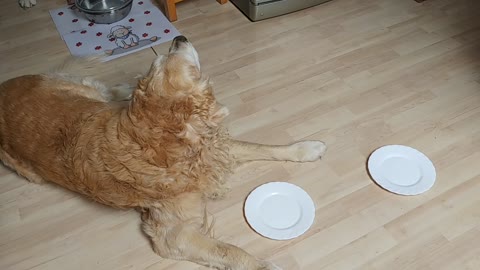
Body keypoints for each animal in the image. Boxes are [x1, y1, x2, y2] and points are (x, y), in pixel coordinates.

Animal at [0, 36, 326, 270]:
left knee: (101, 91)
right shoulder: (172, 234)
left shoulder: (216, 148)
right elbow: (228, 250)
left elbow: (263, 147)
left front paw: (305, 148)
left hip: (83, 93)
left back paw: (121, 90)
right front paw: (264, 266)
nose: (178, 37)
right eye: (165, 58)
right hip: (27, 170)